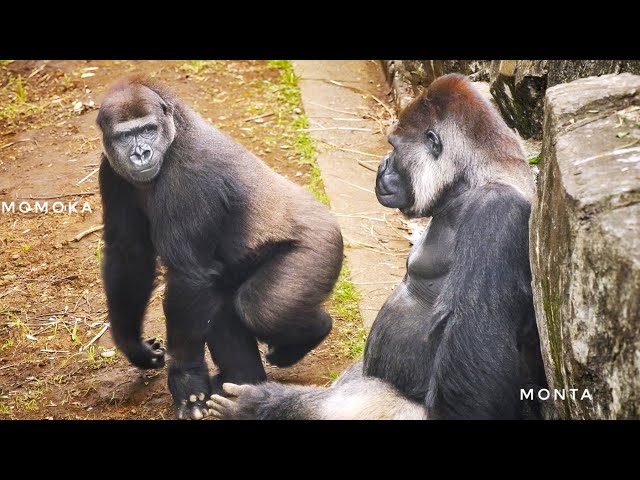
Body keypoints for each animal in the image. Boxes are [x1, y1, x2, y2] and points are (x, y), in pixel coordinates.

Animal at [96, 76, 343, 420]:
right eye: (125, 135)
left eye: (148, 130)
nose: (141, 153)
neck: (174, 131)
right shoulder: (110, 169)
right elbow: (128, 254)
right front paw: (135, 347)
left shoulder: (188, 176)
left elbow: (187, 275)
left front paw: (186, 379)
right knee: (224, 307)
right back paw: (242, 381)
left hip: (322, 245)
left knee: (263, 310)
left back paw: (313, 331)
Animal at [209, 73, 548, 420]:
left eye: (394, 147)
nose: (382, 165)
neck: (471, 181)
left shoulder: (495, 210)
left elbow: (476, 354)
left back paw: (268, 405)